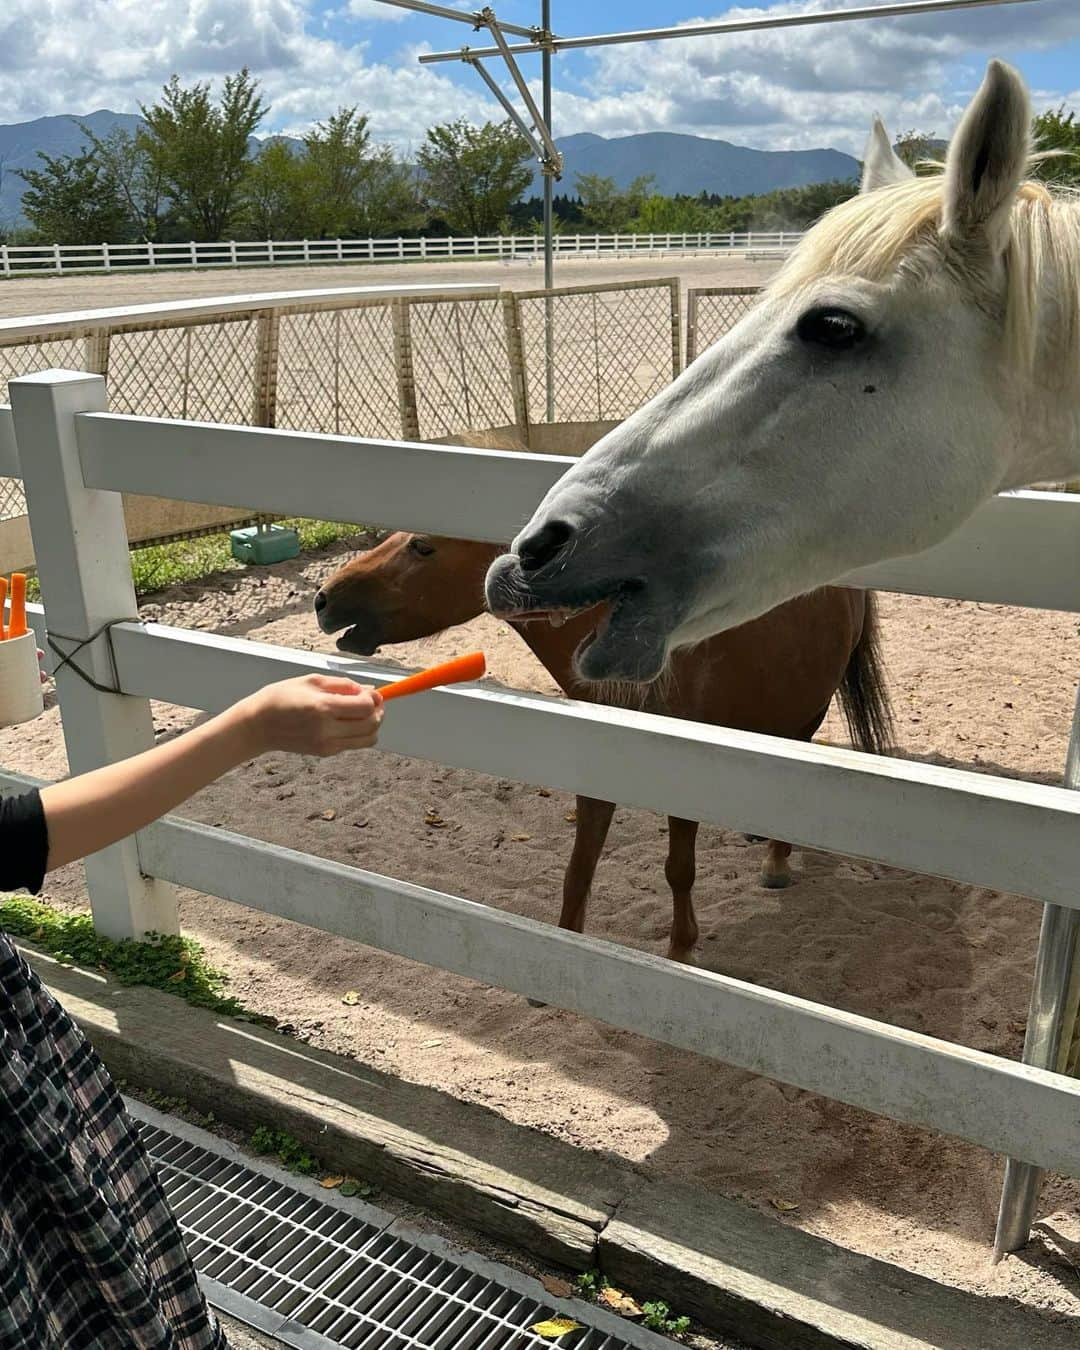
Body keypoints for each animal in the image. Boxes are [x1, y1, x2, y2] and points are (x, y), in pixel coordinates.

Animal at [310, 531, 885, 966]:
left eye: (423, 547)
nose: (323, 598)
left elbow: (679, 870)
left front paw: (681, 949)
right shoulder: (594, 761)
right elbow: (579, 866)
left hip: (810, 707)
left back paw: (776, 863)